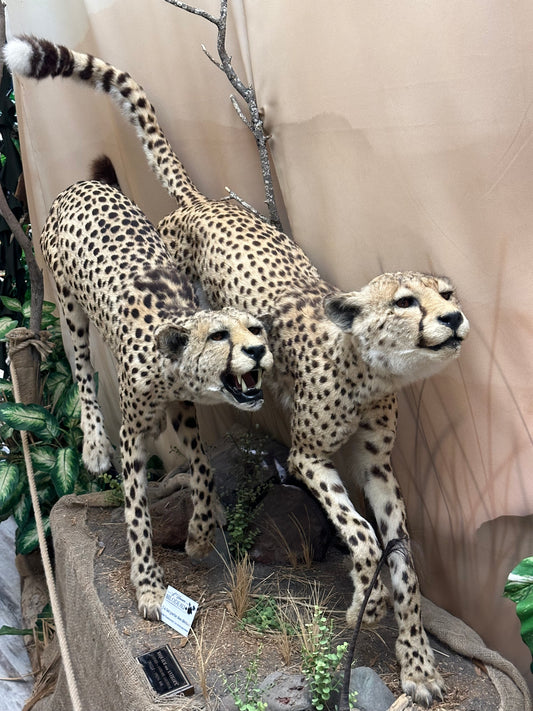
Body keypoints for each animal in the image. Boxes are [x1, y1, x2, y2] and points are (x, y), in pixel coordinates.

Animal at [33, 153, 272, 619]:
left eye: (254, 328)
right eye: (219, 336)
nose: (258, 350)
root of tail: (79, 185)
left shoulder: (185, 412)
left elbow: (204, 471)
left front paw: (198, 536)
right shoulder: (130, 433)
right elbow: (137, 511)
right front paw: (147, 586)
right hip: (69, 307)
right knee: (82, 370)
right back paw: (93, 445)